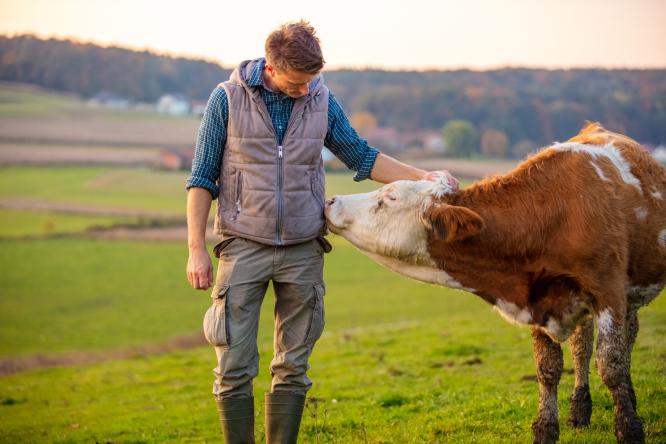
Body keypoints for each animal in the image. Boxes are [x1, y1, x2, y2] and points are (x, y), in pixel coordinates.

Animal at [324, 123, 665, 444]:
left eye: (389, 198)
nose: (331, 201)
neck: (552, 214)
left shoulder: (608, 290)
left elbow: (612, 364)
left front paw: (629, 429)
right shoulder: (538, 298)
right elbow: (548, 368)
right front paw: (545, 430)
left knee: (622, 342)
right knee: (583, 346)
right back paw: (580, 410)